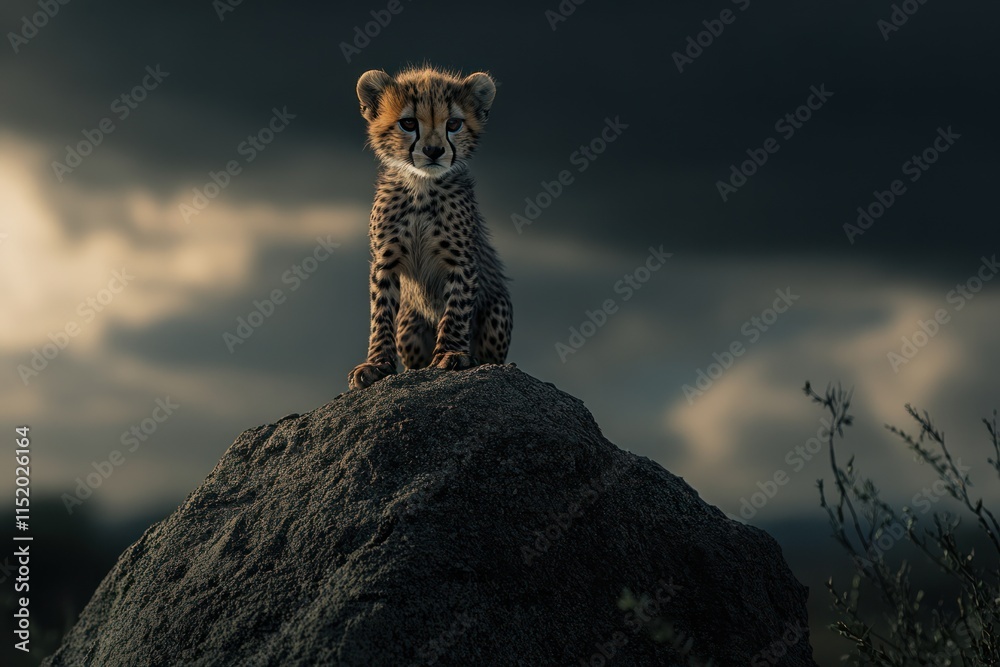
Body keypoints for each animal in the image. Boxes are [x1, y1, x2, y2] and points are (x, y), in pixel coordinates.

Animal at [348, 66, 513, 390]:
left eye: (454, 124)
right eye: (409, 123)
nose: (434, 150)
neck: (421, 186)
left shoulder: (461, 261)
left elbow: (456, 309)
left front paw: (452, 353)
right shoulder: (384, 261)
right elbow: (381, 313)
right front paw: (376, 364)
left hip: (498, 307)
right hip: (409, 325)